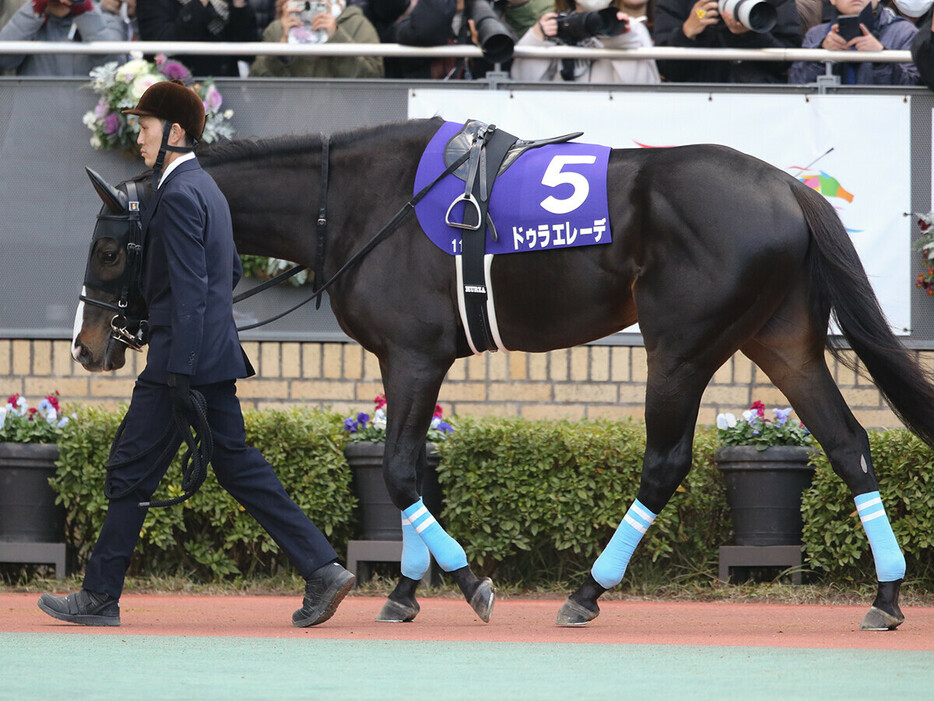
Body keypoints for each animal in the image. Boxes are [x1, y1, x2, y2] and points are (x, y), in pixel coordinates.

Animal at [75, 115, 934, 628]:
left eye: (111, 249)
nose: (88, 347)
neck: (361, 200)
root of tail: (786, 185)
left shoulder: (414, 354)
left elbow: (399, 471)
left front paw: (464, 581)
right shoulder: (407, 359)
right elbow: (405, 466)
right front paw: (403, 590)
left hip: (680, 347)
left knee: (665, 463)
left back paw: (588, 590)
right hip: (780, 341)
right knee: (849, 444)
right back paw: (887, 593)